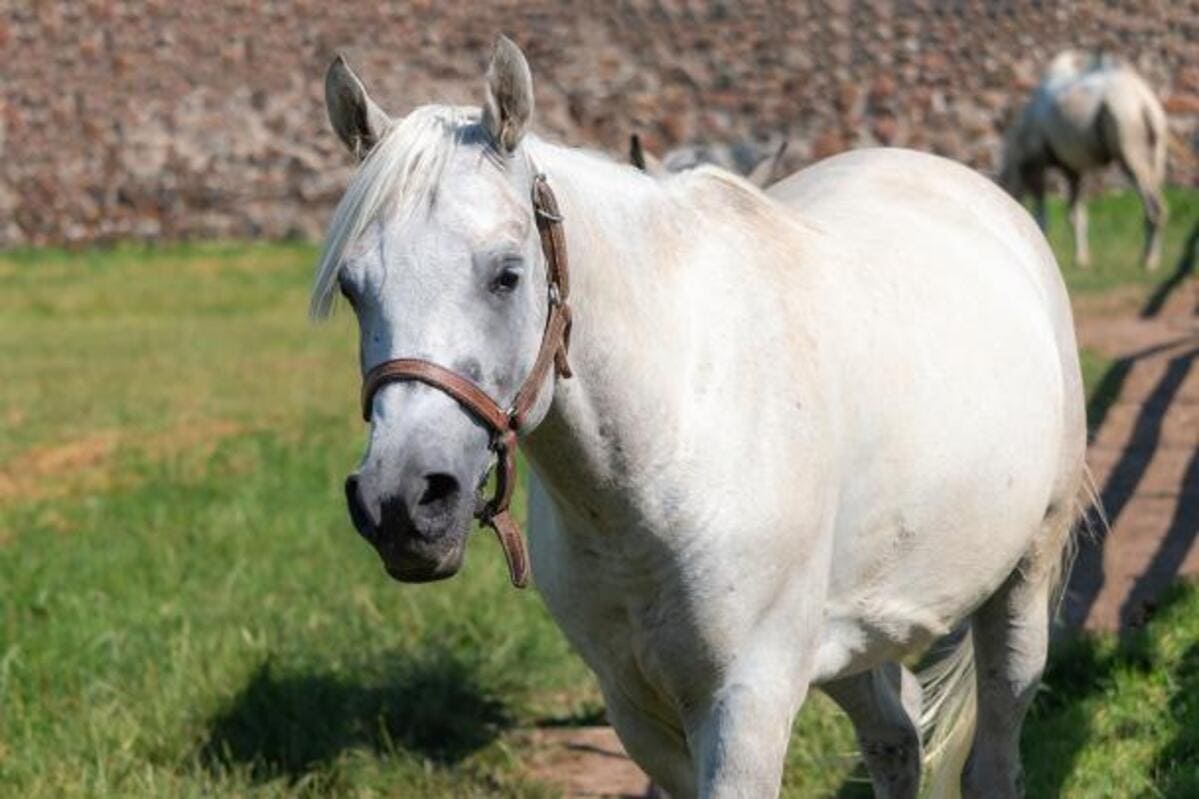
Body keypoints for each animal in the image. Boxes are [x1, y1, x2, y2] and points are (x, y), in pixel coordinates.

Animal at [314, 37, 1093, 796]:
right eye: (352, 288)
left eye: (506, 274)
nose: (401, 501)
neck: (673, 427)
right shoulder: (637, 708)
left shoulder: (746, 701)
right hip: (852, 639)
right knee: (894, 739)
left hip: (1018, 587)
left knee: (990, 755)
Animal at [997, 52, 1165, 271]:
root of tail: (1145, 104)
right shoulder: (1073, 169)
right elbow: (1076, 215)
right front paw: (1082, 259)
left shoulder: (1038, 162)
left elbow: (1042, 215)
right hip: (1157, 148)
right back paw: (1148, 257)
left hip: (1128, 133)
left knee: (1153, 204)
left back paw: (1149, 261)